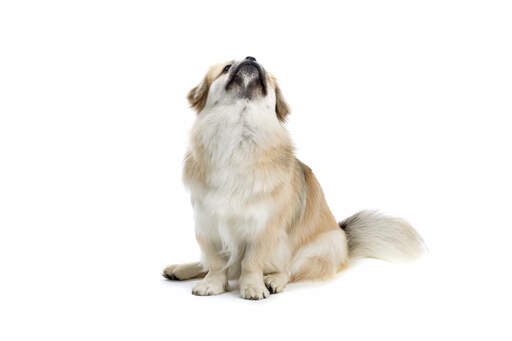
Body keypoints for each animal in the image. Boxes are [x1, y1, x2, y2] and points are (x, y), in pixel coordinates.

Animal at [164, 55, 424, 298]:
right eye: (227, 68)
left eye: (267, 77)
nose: (250, 59)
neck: (239, 134)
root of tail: (345, 238)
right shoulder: (207, 225)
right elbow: (216, 264)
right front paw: (212, 284)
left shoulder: (264, 228)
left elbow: (251, 262)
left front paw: (253, 287)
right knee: (210, 264)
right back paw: (180, 269)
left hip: (318, 248)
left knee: (289, 270)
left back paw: (273, 280)